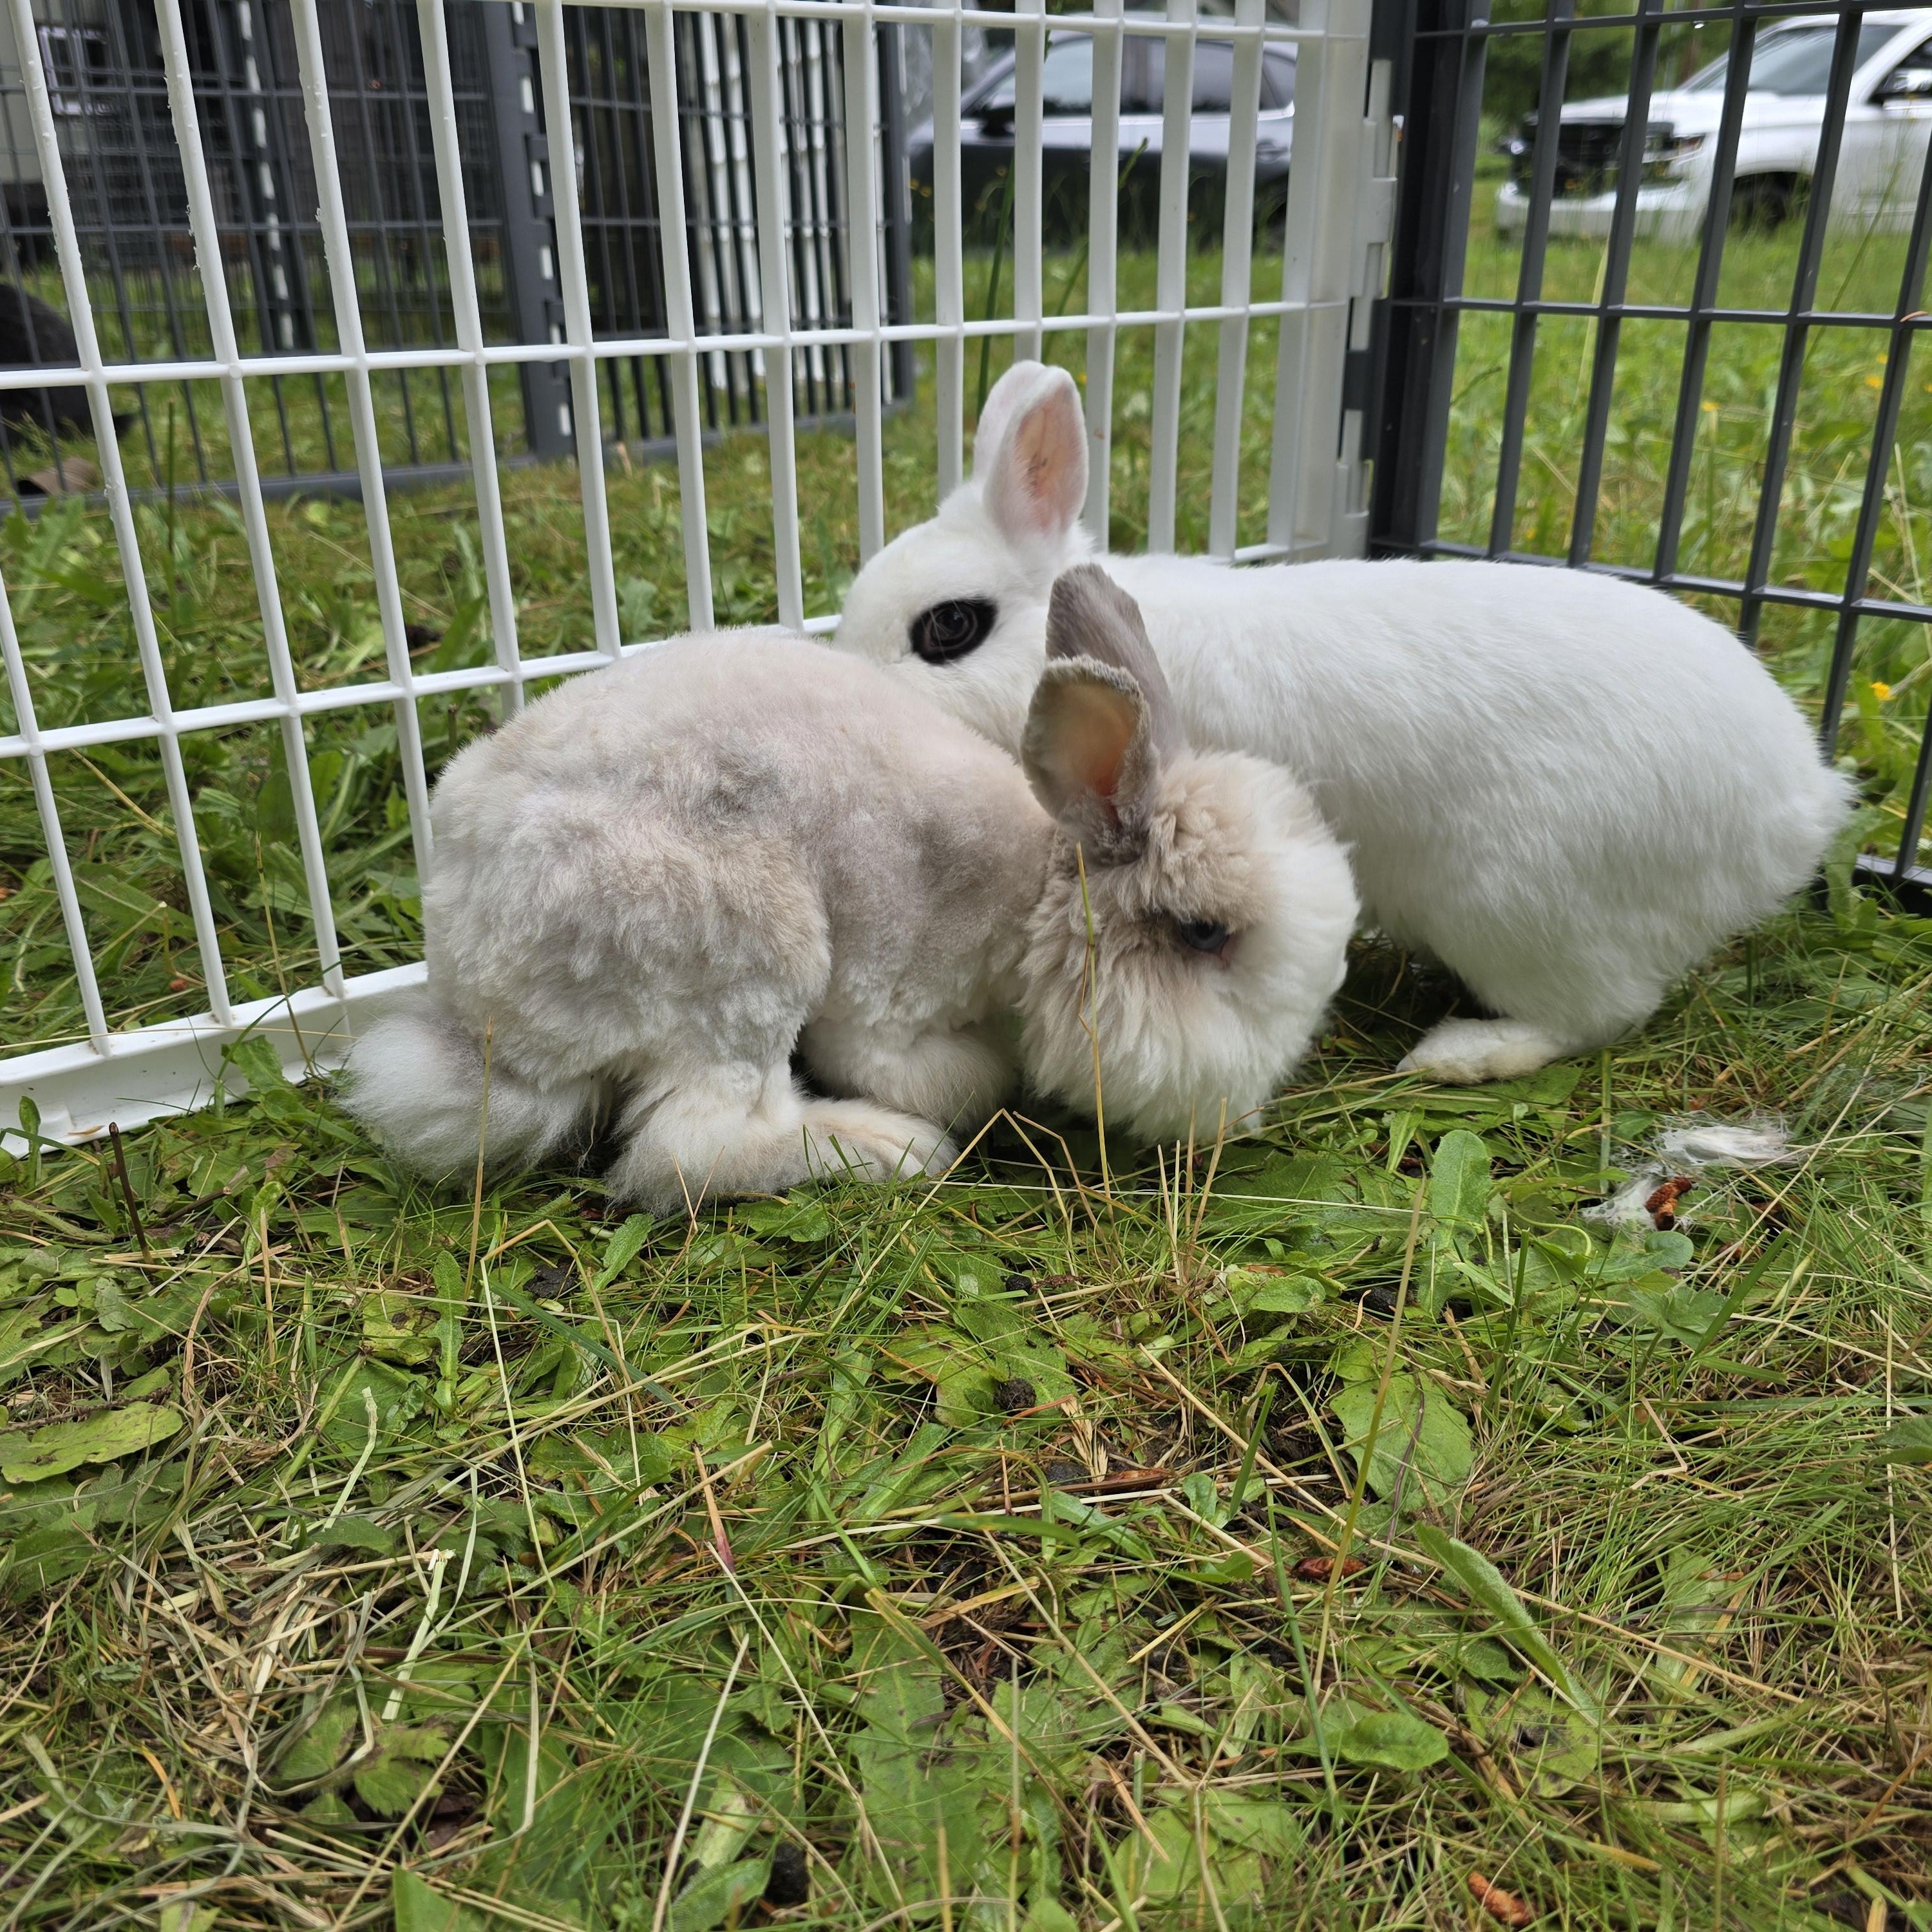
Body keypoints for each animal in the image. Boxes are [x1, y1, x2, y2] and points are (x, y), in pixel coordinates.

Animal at [341, 567, 1358, 1212]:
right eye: (1204, 933)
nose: (1246, 1116)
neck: (1033, 889)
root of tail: (479, 1005)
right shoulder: (889, 989)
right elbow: (924, 1067)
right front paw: (968, 1091)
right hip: (747, 953)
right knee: (688, 1152)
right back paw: (890, 1149)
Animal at [831, 360, 1855, 1084]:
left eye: (949, 628)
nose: (846, 686)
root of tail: (1798, 809)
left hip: (1518, 906)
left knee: (1596, 1014)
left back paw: (1459, 1054)